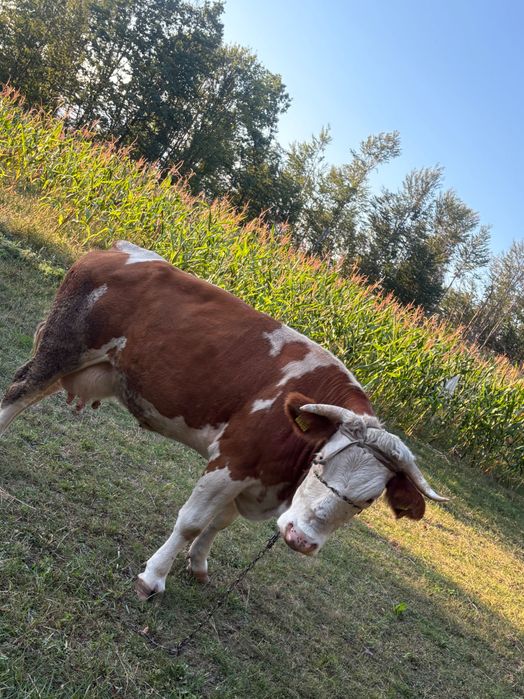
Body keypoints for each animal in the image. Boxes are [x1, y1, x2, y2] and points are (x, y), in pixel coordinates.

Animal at [0, 241, 447, 599]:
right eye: (321, 463)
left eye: (368, 500)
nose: (300, 540)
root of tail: (116, 250)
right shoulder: (231, 460)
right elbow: (193, 522)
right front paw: (153, 577)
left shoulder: (254, 476)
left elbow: (219, 523)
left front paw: (198, 564)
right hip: (61, 349)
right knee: (17, 393)